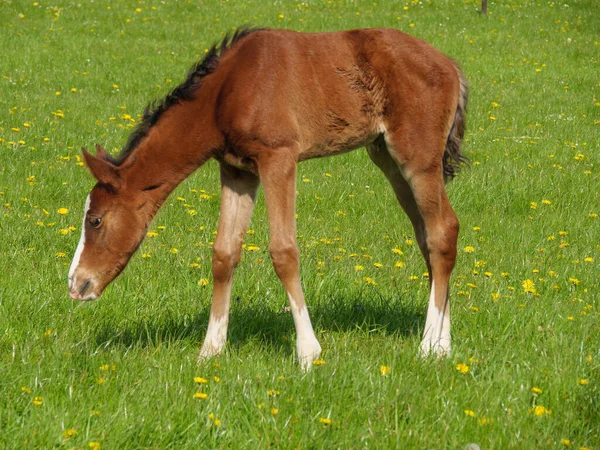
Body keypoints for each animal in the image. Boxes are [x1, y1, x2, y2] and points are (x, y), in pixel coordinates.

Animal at [68, 27, 466, 370]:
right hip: (386, 156)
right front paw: (210, 350)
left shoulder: (279, 158)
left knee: (443, 230)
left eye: (95, 220)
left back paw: (430, 346)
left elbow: (284, 251)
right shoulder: (237, 171)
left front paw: (308, 351)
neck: (228, 90)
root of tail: (452, 66)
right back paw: (443, 343)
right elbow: (224, 253)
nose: (76, 285)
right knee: (427, 237)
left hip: (417, 157)